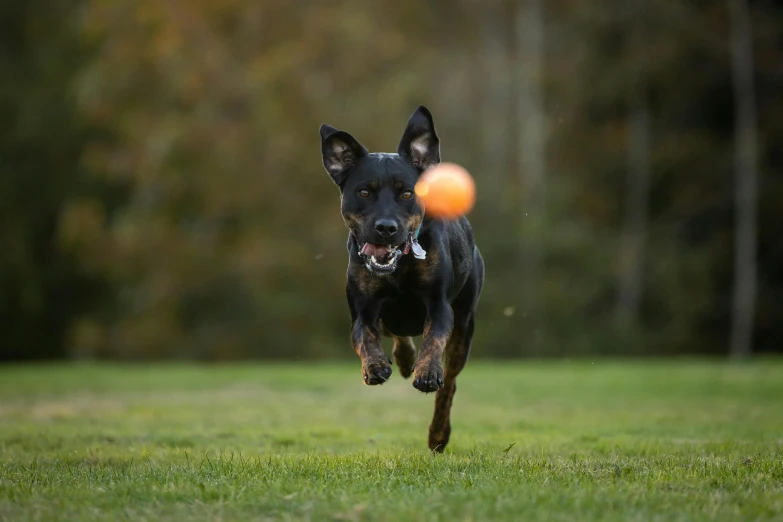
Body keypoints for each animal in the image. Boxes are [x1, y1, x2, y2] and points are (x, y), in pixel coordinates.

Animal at [318, 105, 484, 450]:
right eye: (364, 191)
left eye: (407, 193)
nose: (386, 227)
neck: (399, 267)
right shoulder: (363, 309)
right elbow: (364, 337)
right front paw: (375, 366)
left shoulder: (439, 304)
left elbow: (434, 337)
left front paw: (426, 372)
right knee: (395, 332)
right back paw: (404, 360)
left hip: (465, 324)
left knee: (450, 383)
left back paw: (438, 432)